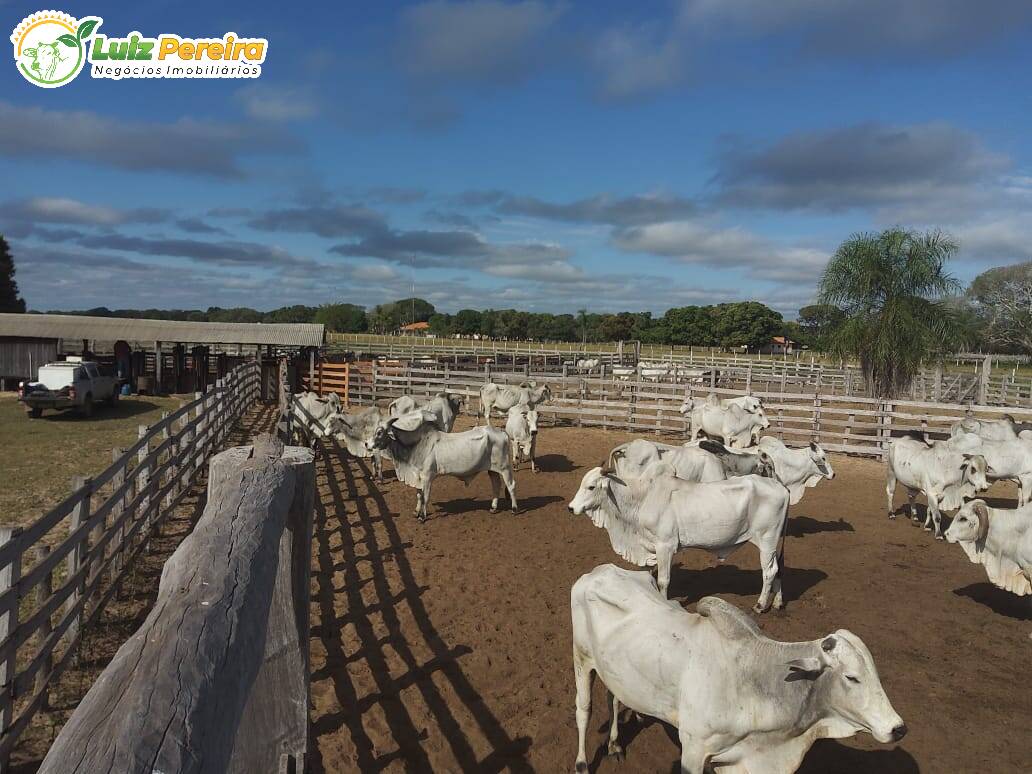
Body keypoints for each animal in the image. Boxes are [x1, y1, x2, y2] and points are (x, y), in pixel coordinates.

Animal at [569, 454, 784, 610]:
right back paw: (777, 602)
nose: (571, 508)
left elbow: (663, 580)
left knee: (769, 571)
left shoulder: (666, 546)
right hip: (775, 543)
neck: (642, 497)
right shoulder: (652, 547)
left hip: (767, 540)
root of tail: (780, 487)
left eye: (591, 487)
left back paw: (760, 605)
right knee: (778, 568)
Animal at [573, 565, 904, 774]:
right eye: (852, 677)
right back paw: (582, 764)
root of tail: (598, 572)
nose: (898, 728)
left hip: (614, 671)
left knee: (615, 698)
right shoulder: (692, 749)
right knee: (584, 710)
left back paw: (615, 745)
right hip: (582, 661)